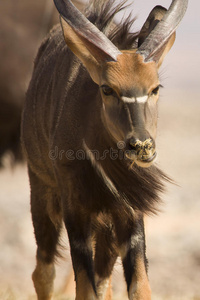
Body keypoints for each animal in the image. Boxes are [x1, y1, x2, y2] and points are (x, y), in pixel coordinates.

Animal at [21, 0, 188, 298]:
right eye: (108, 89)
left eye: (155, 87)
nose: (141, 146)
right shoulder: (76, 214)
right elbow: (85, 289)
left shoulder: (129, 216)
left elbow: (138, 286)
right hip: (41, 189)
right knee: (43, 272)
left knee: (102, 280)